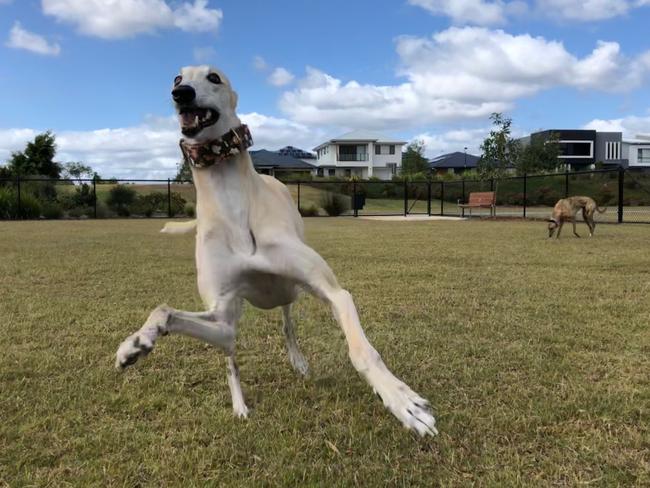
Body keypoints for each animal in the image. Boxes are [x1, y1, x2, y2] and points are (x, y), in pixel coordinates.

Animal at [115, 63, 436, 434]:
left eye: (213, 78)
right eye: (177, 79)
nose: (181, 95)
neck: (233, 207)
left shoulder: (335, 293)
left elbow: (361, 351)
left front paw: (402, 401)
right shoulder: (221, 313)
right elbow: (164, 310)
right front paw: (135, 345)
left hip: (289, 289)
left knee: (287, 323)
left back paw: (298, 361)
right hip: (233, 318)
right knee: (230, 353)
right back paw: (239, 404)